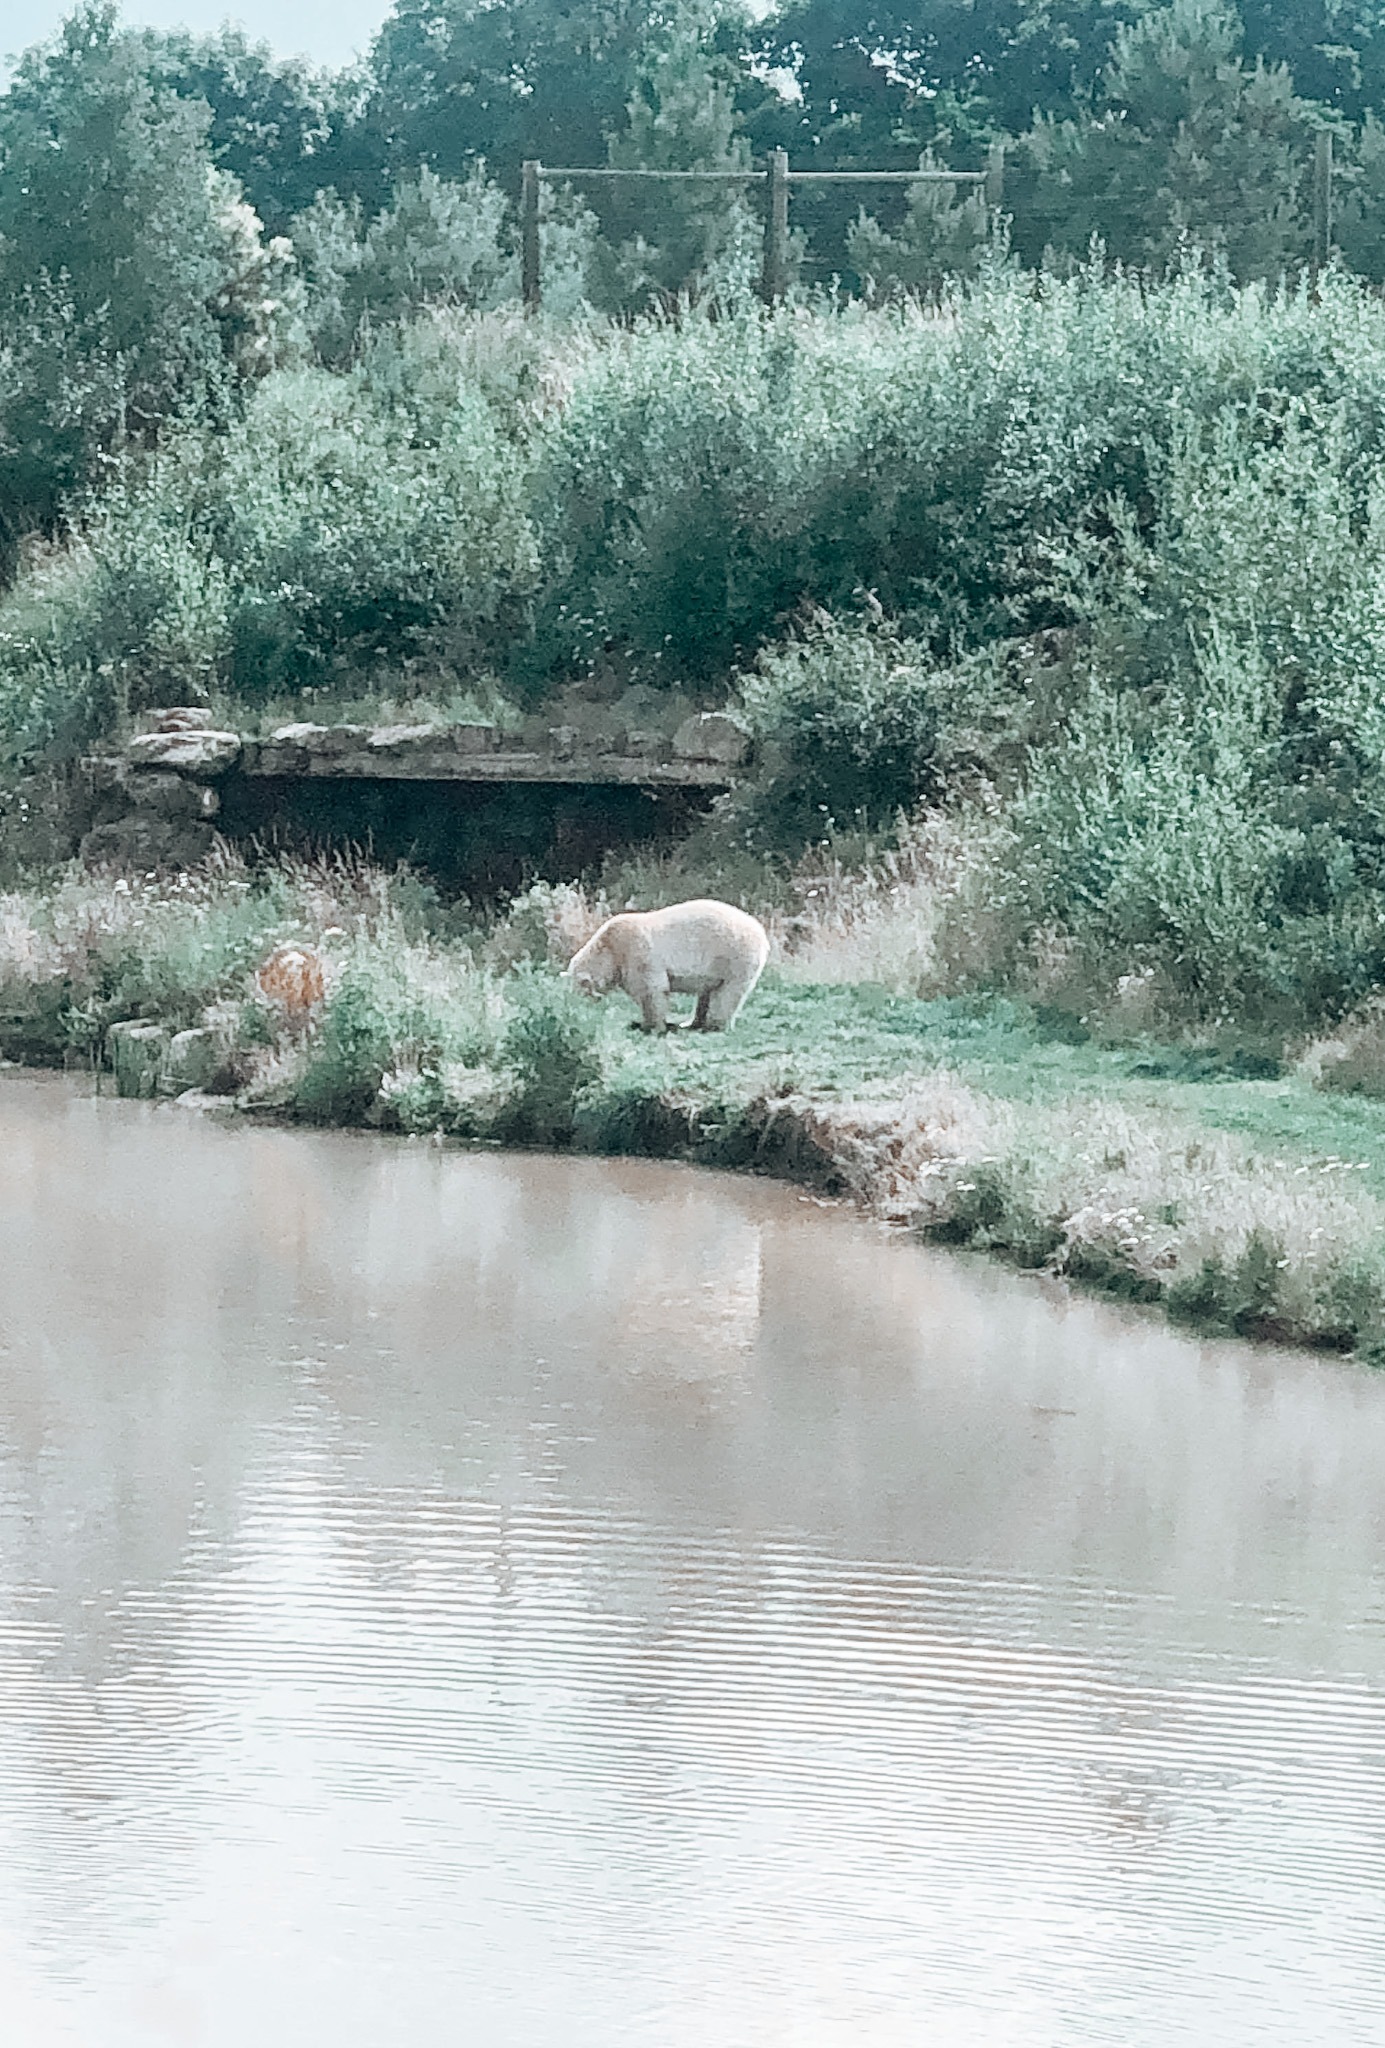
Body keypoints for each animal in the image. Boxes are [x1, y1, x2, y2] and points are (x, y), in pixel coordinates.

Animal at [565, 899, 770, 1034]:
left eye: (581, 989)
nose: (576, 1008)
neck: (610, 947)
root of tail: (761, 933)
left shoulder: (636, 953)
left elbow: (650, 990)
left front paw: (650, 1026)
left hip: (733, 956)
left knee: (728, 993)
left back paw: (713, 1026)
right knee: (708, 993)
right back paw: (692, 1023)